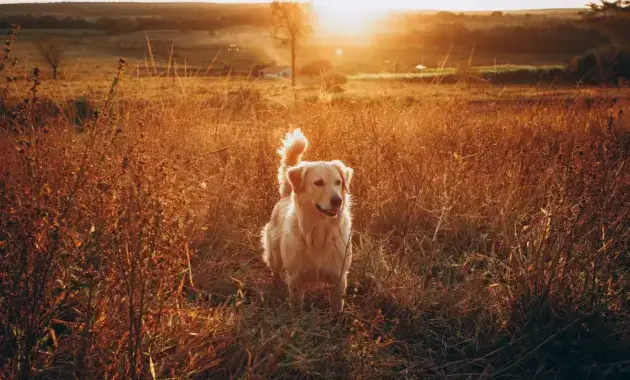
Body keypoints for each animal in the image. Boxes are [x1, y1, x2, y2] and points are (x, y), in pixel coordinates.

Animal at [260, 128, 354, 312]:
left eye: (338, 182)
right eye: (318, 183)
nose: (337, 201)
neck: (320, 230)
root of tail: (286, 196)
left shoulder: (338, 278)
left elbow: (336, 308)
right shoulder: (296, 279)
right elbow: (296, 307)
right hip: (274, 255)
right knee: (275, 271)